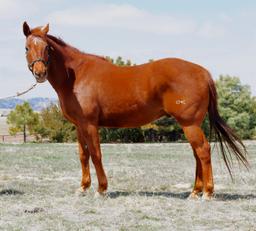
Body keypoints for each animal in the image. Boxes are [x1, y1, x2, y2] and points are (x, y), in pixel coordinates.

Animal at [22, 22, 248, 199]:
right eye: (26, 48)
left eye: (47, 48)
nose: (40, 73)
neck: (76, 76)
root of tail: (203, 72)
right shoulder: (79, 126)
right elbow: (83, 155)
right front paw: (83, 187)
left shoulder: (90, 124)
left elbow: (96, 154)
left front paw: (101, 189)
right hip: (192, 125)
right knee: (197, 153)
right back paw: (195, 191)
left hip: (189, 123)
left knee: (203, 151)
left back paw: (208, 192)